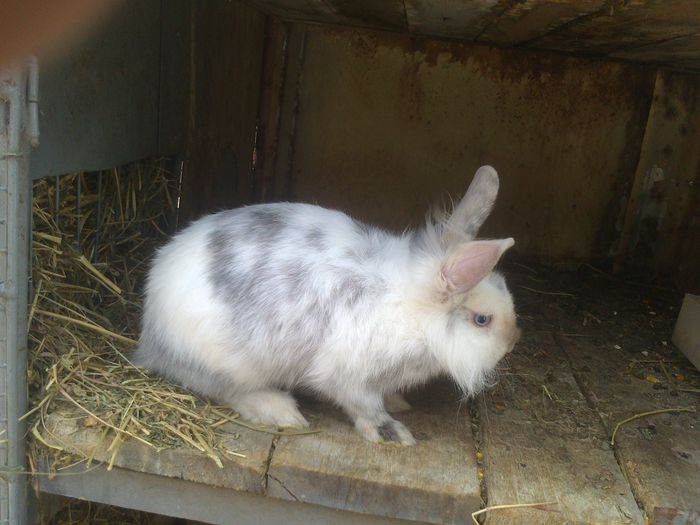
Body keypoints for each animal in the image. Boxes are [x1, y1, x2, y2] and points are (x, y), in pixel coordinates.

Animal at [135, 166, 520, 444]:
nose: (514, 340)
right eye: (482, 320)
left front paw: (398, 401)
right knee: (225, 390)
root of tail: (151, 332)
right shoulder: (348, 375)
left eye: (504, 284)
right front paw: (392, 433)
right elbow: (365, 406)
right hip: (231, 363)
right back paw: (281, 411)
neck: (411, 308)